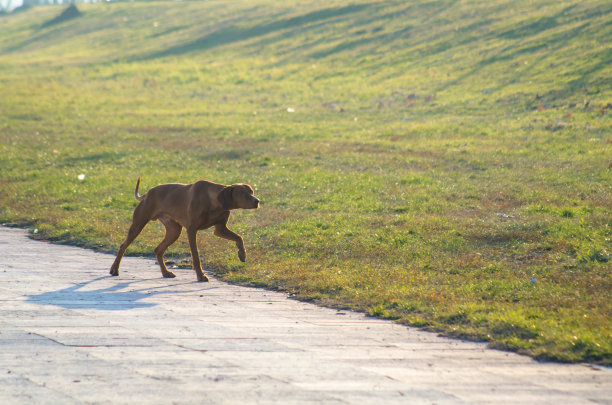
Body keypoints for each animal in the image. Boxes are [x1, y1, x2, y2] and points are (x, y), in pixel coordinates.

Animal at [110, 177, 258, 280]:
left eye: (252, 192)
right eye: (244, 194)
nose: (257, 201)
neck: (214, 201)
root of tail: (147, 193)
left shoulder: (220, 229)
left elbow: (239, 238)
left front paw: (242, 254)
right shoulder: (191, 230)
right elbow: (196, 255)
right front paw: (200, 275)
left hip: (174, 231)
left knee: (158, 250)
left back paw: (165, 272)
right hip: (138, 225)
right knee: (123, 246)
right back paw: (114, 269)